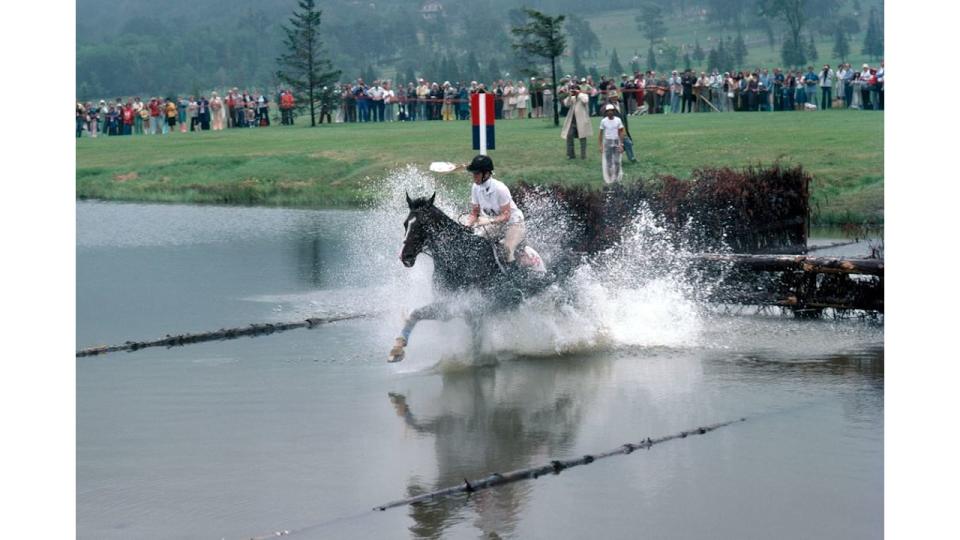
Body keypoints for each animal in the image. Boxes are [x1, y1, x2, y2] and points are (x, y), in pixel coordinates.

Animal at [386, 194, 560, 362]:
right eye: (405, 224)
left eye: (421, 225)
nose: (405, 257)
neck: (459, 257)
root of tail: (538, 259)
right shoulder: (455, 307)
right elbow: (415, 314)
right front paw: (396, 350)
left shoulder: (466, 305)